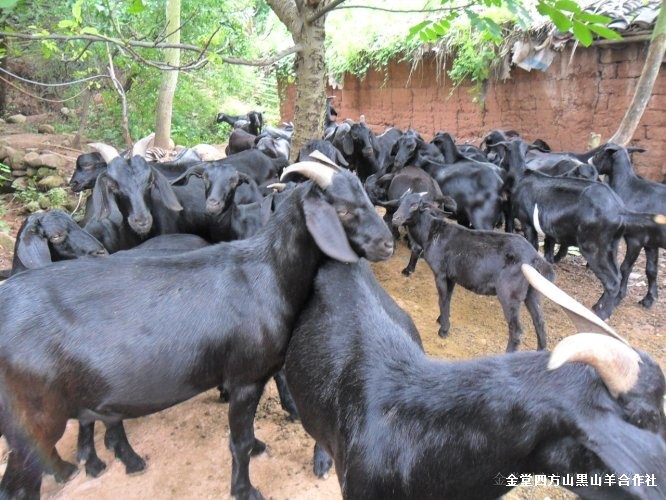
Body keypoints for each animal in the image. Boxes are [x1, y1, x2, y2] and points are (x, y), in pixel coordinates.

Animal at [0, 162, 392, 498]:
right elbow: (239, 441)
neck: (267, 274)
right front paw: (245, 489)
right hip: (36, 416)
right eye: (343, 210)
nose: (387, 244)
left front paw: (259, 447)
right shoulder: (246, 376)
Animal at [392, 191, 552, 352]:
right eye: (399, 202)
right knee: (540, 321)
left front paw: (443, 330)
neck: (431, 232)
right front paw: (442, 319)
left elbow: (442, 299)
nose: (395, 218)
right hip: (532, 291)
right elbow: (447, 299)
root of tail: (535, 258)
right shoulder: (451, 276)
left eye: (414, 205)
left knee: (517, 329)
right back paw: (541, 350)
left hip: (509, 293)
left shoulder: (440, 273)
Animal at [588, 144, 664, 308]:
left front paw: (618, 296)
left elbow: (625, 267)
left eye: (599, 153)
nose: (590, 162)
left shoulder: (636, 238)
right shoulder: (651, 243)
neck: (630, 188)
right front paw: (649, 300)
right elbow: (651, 270)